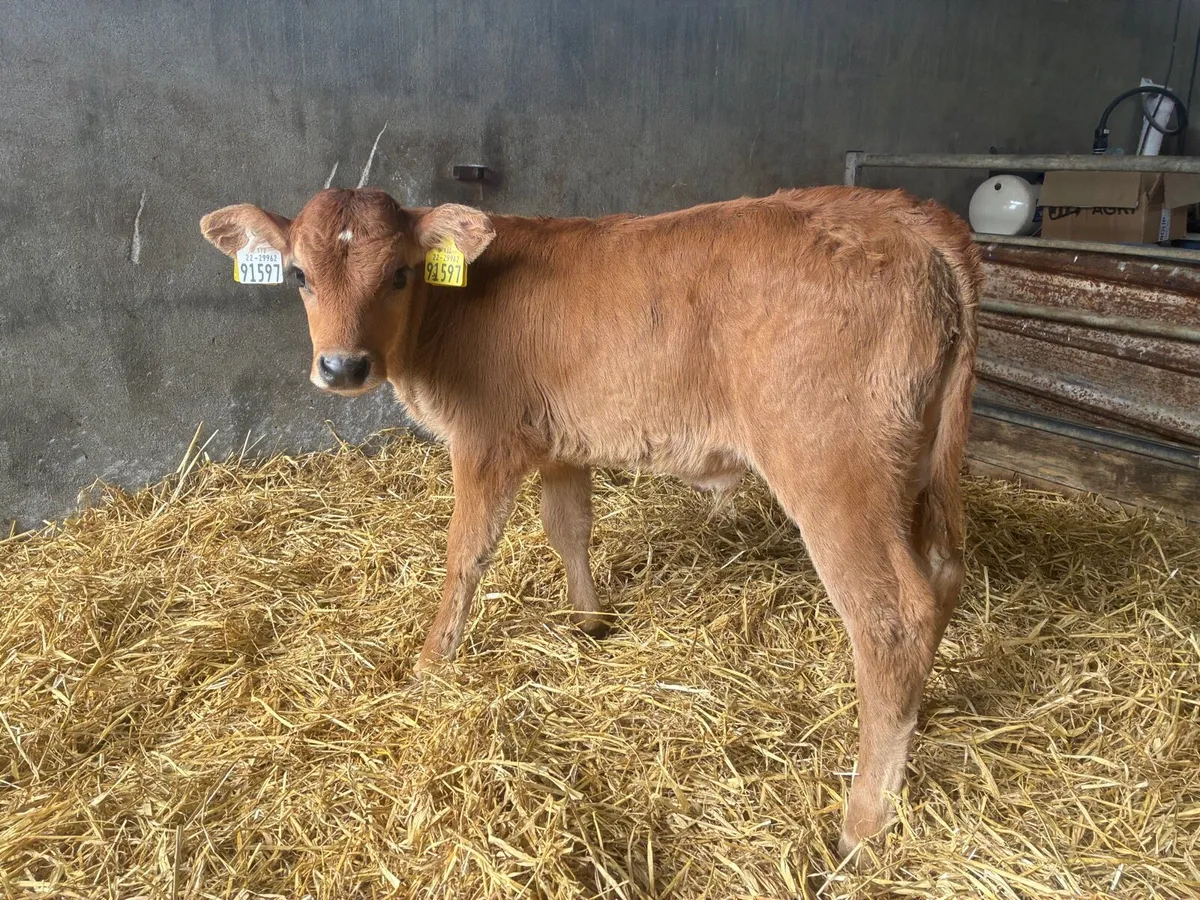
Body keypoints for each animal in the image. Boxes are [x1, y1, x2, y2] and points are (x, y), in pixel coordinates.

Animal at [200, 185, 982, 858]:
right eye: (299, 274)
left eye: (397, 273)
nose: (342, 366)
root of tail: (905, 213)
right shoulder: (558, 444)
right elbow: (568, 527)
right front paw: (588, 621)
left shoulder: (484, 440)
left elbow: (466, 554)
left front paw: (430, 663)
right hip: (913, 468)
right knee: (944, 577)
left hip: (835, 471)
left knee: (891, 617)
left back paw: (862, 824)